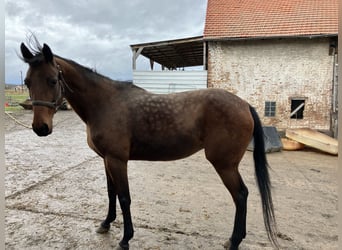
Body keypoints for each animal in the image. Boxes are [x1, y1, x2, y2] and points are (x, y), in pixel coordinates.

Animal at [20, 40, 278, 249]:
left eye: (53, 80)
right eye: (27, 81)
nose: (40, 128)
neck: (105, 103)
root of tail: (244, 104)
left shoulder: (117, 160)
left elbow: (124, 197)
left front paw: (125, 239)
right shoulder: (106, 159)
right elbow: (111, 192)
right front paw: (106, 223)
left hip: (224, 165)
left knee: (241, 195)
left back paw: (233, 241)